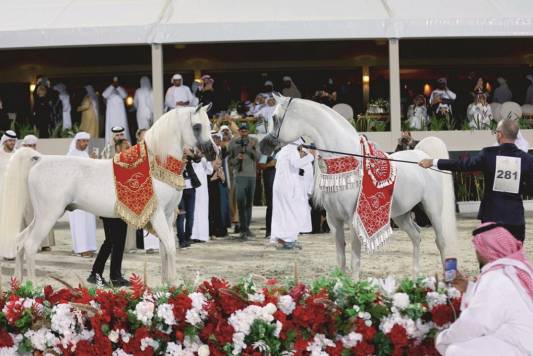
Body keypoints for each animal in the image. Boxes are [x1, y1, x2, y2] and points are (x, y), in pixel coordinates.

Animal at [0, 105, 216, 284]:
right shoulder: (157, 214)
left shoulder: (168, 215)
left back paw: (18, 284)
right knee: (30, 246)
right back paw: (33, 289)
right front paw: (173, 285)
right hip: (48, 215)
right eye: (197, 126)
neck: (156, 166)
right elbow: (170, 247)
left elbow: (165, 249)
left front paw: (167, 286)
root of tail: (39, 159)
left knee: (20, 242)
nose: (213, 153)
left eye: (209, 125)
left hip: (40, 216)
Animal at [260, 96, 456, 280]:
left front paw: (354, 286)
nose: (263, 146)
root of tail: (423, 156)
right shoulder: (333, 220)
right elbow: (341, 258)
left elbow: (355, 258)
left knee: (441, 241)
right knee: (416, 235)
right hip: (401, 214)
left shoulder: (354, 219)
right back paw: (415, 280)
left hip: (432, 209)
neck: (348, 162)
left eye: (275, 118)